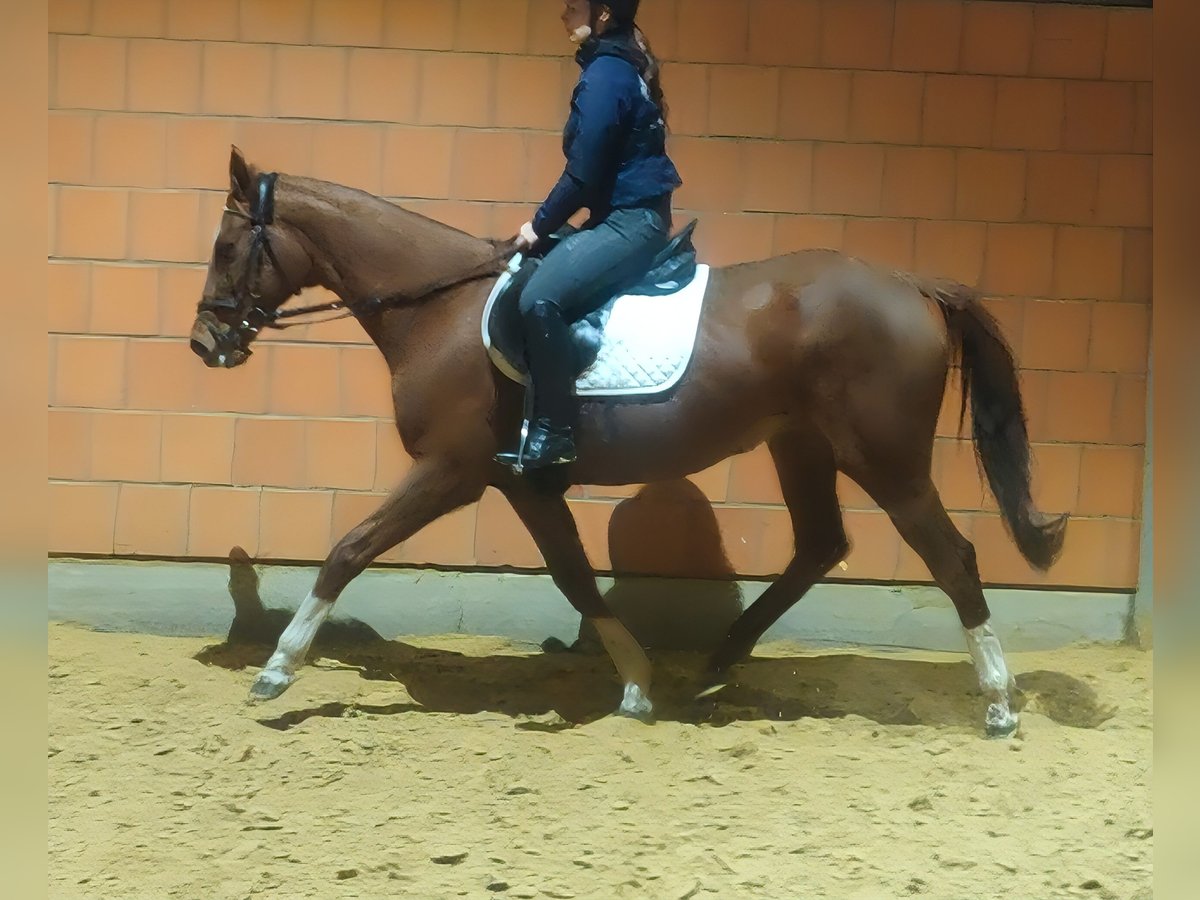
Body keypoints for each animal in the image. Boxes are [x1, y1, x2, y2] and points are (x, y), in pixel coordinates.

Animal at [190, 147, 1067, 737]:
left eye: (228, 247)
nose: (205, 344)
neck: (442, 311)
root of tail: (912, 285)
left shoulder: (451, 471)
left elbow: (350, 548)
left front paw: (277, 671)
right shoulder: (524, 482)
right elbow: (575, 576)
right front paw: (639, 685)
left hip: (885, 459)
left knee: (951, 557)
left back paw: (997, 703)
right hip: (802, 446)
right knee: (820, 545)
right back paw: (713, 667)